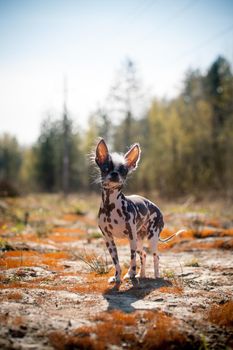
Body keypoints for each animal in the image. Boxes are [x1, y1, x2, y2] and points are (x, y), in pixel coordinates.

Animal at [94, 138, 184, 284]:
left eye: (124, 171)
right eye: (106, 168)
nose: (115, 174)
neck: (111, 206)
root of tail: (157, 208)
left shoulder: (131, 237)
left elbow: (132, 260)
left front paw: (130, 273)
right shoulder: (108, 239)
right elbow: (116, 261)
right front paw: (117, 277)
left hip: (151, 238)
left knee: (155, 256)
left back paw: (156, 276)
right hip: (139, 240)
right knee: (144, 255)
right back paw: (142, 275)